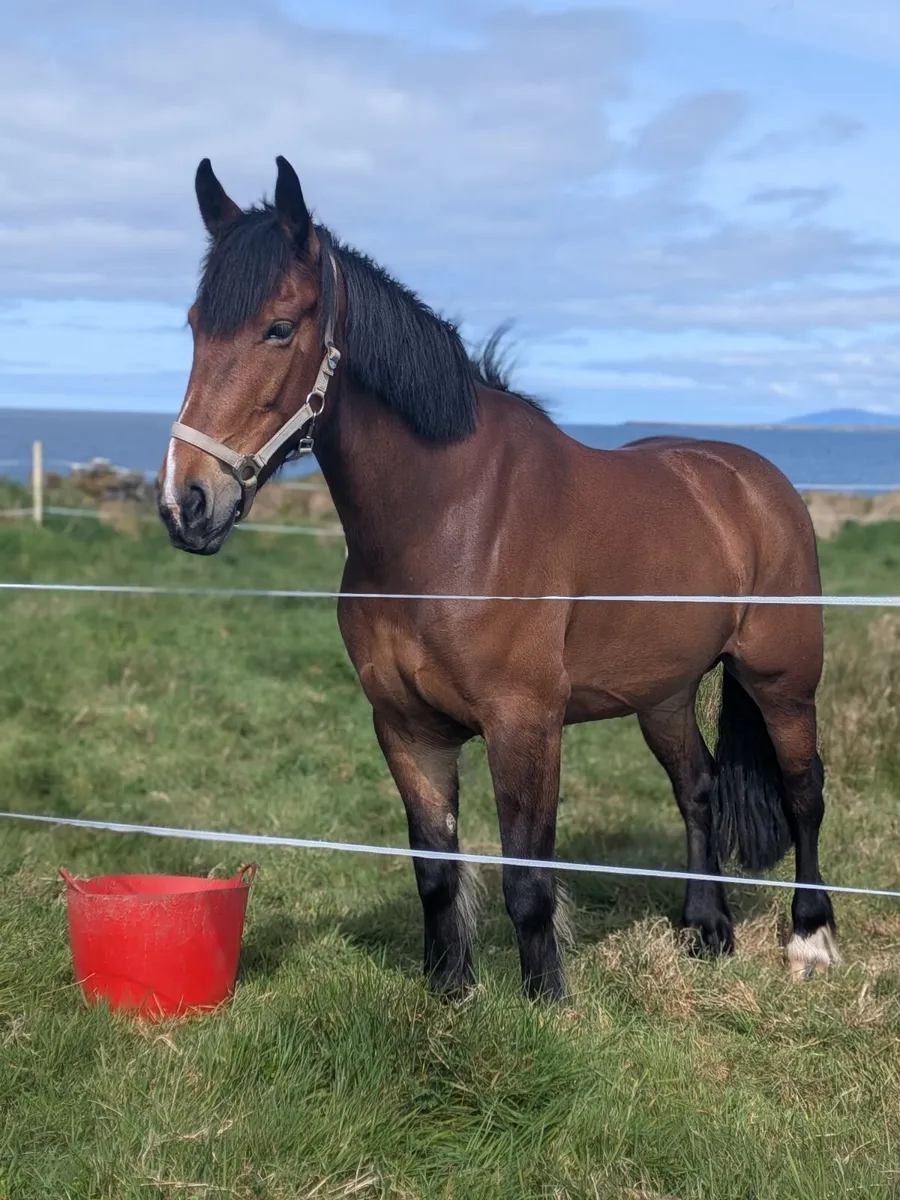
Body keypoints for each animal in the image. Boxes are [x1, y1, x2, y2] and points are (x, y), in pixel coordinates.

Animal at [157, 155, 839, 1000]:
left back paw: (810, 937)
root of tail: (755, 480)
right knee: (700, 787)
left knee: (804, 790)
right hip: (666, 692)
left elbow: (527, 875)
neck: (449, 521)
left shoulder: (525, 725)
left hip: (783, 678)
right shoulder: (407, 728)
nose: (186, 502)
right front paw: (450, 989)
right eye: (195, 324)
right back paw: (706, 927)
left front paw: (546, 998)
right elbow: (435, 870)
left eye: (279, 327)